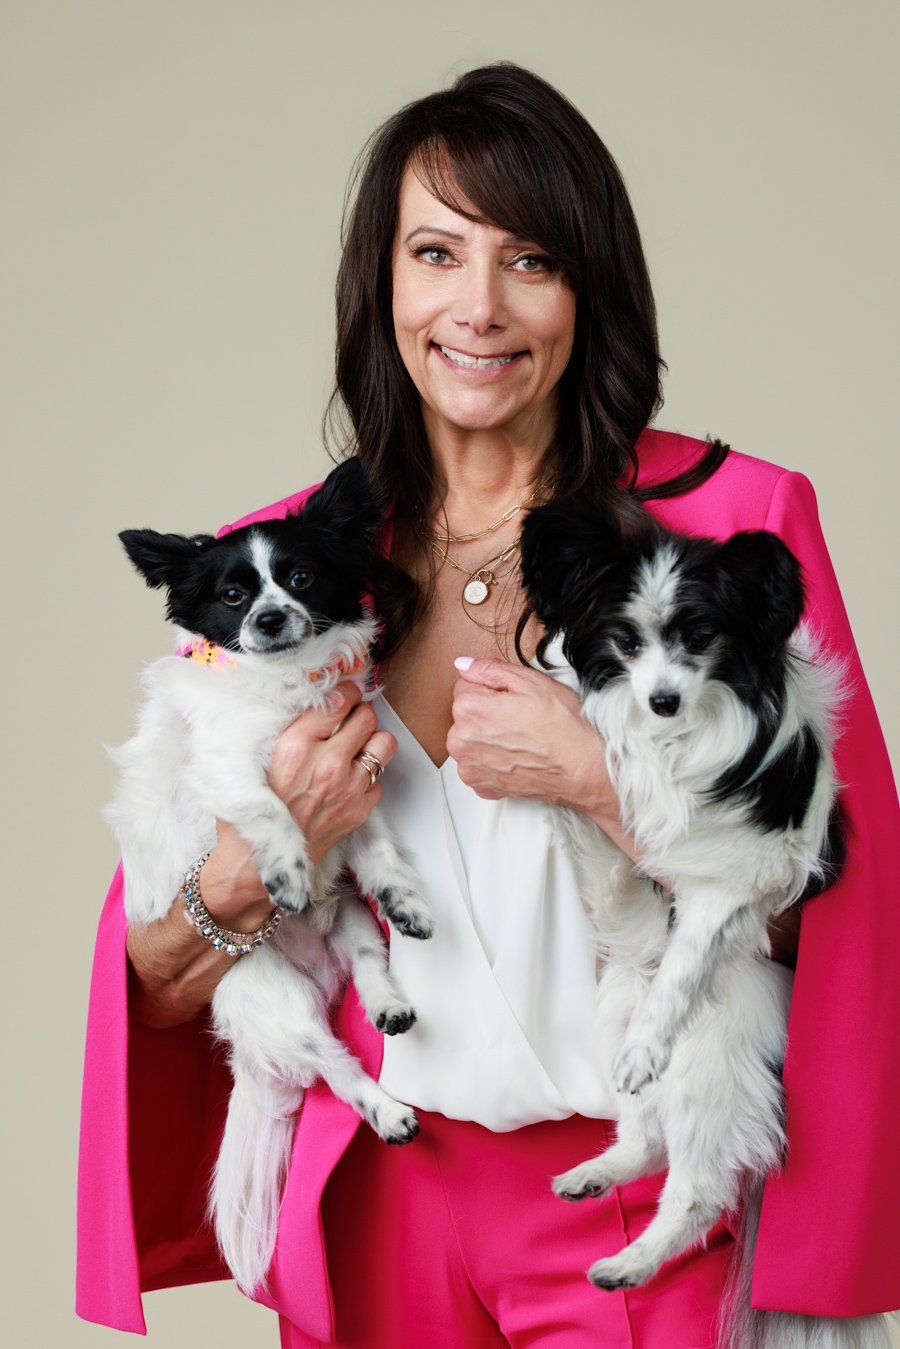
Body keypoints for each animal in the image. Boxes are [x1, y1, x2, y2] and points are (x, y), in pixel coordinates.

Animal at [103, 461, 434, 1295]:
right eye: (231, 595)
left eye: (300, 577)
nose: (271, 618)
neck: (286, 688)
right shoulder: (234, 771)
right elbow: (271, 811)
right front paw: (284, 869)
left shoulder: (355, 791)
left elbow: (381, 852)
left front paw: (406, 894)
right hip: (278, 1006)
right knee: (338, 1070)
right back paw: (387, 1110)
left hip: (348, 922)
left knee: (371, 961)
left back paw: (388, 999)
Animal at [520, 507, 895, 1349]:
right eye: (625, 641)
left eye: (700, 637)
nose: (661, 700)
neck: (678, 738)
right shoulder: (632, 871)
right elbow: (607, 857)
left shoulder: (734, 880)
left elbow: (687, 959)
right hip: (615, 1005)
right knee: (643, 1137)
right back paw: (598, 1173)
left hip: (709, 1071)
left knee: (693, 1189)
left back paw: (628, 1263)